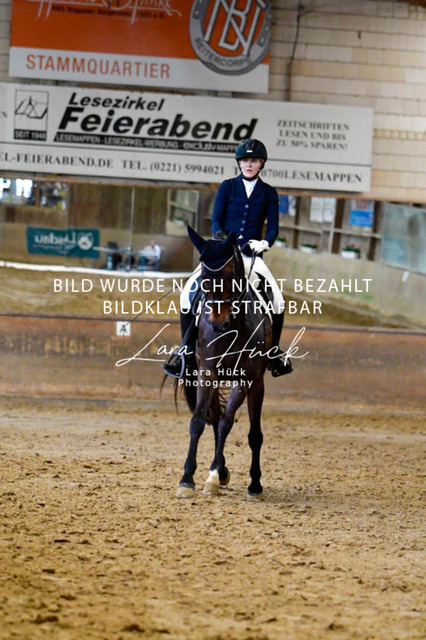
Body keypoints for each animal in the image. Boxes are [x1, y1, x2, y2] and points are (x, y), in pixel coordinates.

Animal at [176, 226, 274, 499]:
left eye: (230, 276)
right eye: (204, 278)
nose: (218, 324)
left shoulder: (251, 380)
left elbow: (252, 432)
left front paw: (254, 484)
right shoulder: (207, 373)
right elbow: (198, 421)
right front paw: (188, 480)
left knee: (225, 421)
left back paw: (219, 473)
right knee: (215, 418)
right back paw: (218, 472)